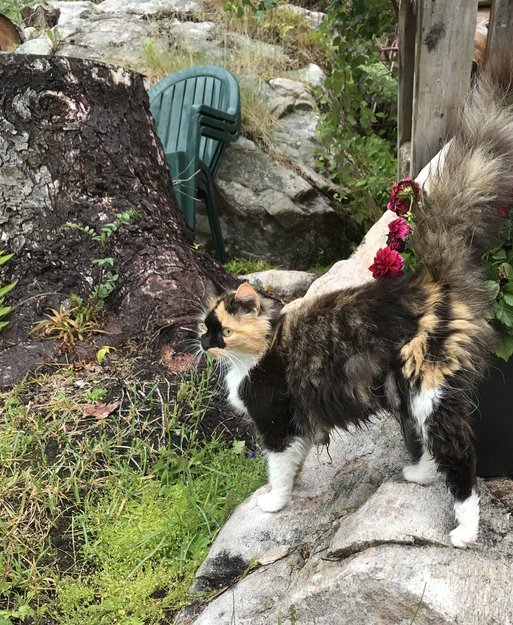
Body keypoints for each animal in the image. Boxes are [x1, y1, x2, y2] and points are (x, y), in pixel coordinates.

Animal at [198, 51, 513, 548]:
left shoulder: (277, 422)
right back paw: (417, 476)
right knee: (429, 446)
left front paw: (274, 503)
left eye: (222, 330)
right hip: (409, 394)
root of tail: (431, 279)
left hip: (428, 387)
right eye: (203, 327)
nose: (203, 344)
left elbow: (278, 471)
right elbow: (296, 462)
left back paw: (464, 531)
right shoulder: (298, 426)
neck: (261, 348)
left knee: (460, 455)